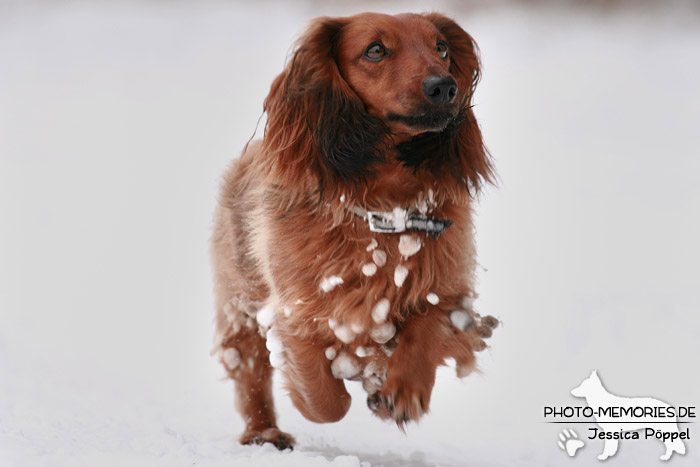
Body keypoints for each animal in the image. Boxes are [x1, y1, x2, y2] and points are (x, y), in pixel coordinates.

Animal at [209, 11, 498, 450]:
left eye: (442, 47)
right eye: (375, 50)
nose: (444, 86)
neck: (385, 210)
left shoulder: (447, 288)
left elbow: (429, 327)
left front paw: (402, 389)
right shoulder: (298, 312)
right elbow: (326, 401)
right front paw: (351, 379)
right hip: (240, 300)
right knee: (252, 371)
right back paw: (265, 432)